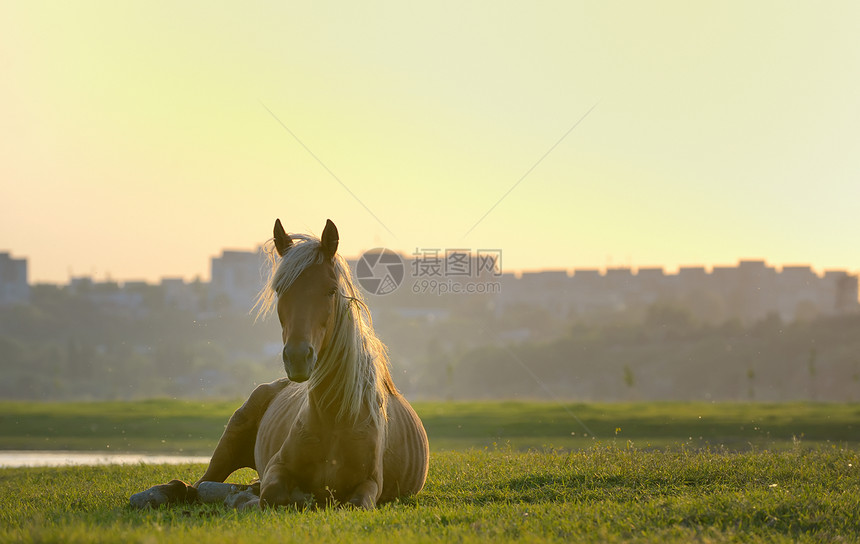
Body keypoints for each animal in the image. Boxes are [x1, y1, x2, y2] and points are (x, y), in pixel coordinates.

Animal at [130, 218, 430, 510]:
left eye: (331, 290)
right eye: (279, 289)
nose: (297, 358)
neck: (335, 417)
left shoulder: (370, 484)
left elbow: (354, 503)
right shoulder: (277, 467)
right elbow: (273, 494)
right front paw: (249, 498)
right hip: (231, 438)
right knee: (193, 485)